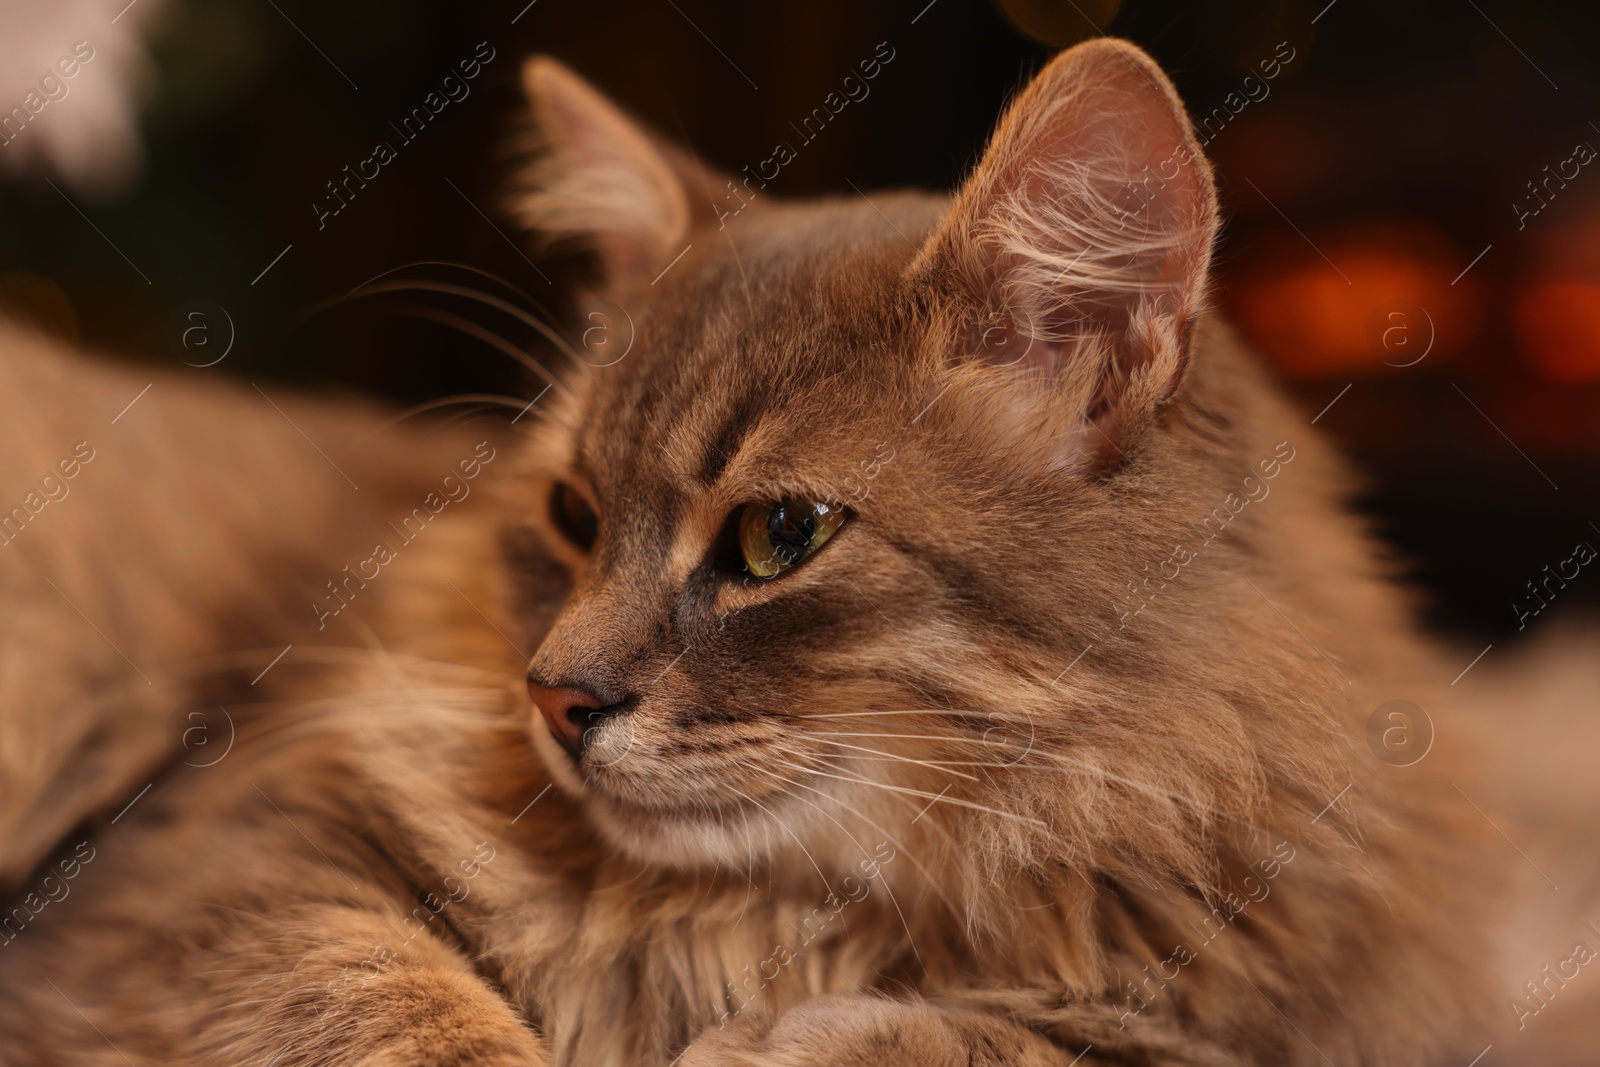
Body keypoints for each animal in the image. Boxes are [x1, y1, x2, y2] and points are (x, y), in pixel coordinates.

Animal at [0, 37, 1536, 1062]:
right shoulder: (215, 873)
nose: (554, 697)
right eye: (574, 517)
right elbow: (415, 1009)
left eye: (776, 536)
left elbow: (1034, 1035)